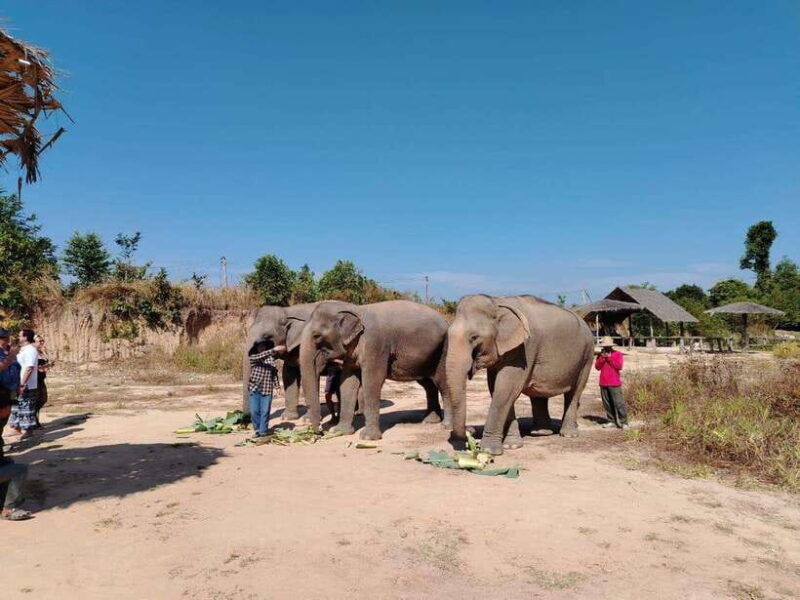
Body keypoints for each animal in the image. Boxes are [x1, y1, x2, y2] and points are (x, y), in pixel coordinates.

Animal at [296, 300, 451, 440]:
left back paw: (446, 425)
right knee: (428, 385)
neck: (356, 309)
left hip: (443, 351)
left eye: (317, 336)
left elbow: (372, 380)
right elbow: (347, 382)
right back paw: (430, 421)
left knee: (442, 382)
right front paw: (340, 431)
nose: (320, 432)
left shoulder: (375, 344)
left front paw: (367, 438)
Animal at [446, 294, 594, 455]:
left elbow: (506, 389)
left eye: (474, 337)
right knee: (539, 394)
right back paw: (540, 432)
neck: (497, 302)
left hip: (587, 355)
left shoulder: (524, 348)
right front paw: (512, 446)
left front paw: (490, 451)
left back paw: (568, 434)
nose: (470, 430)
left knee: (575, 391)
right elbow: (497, 389)